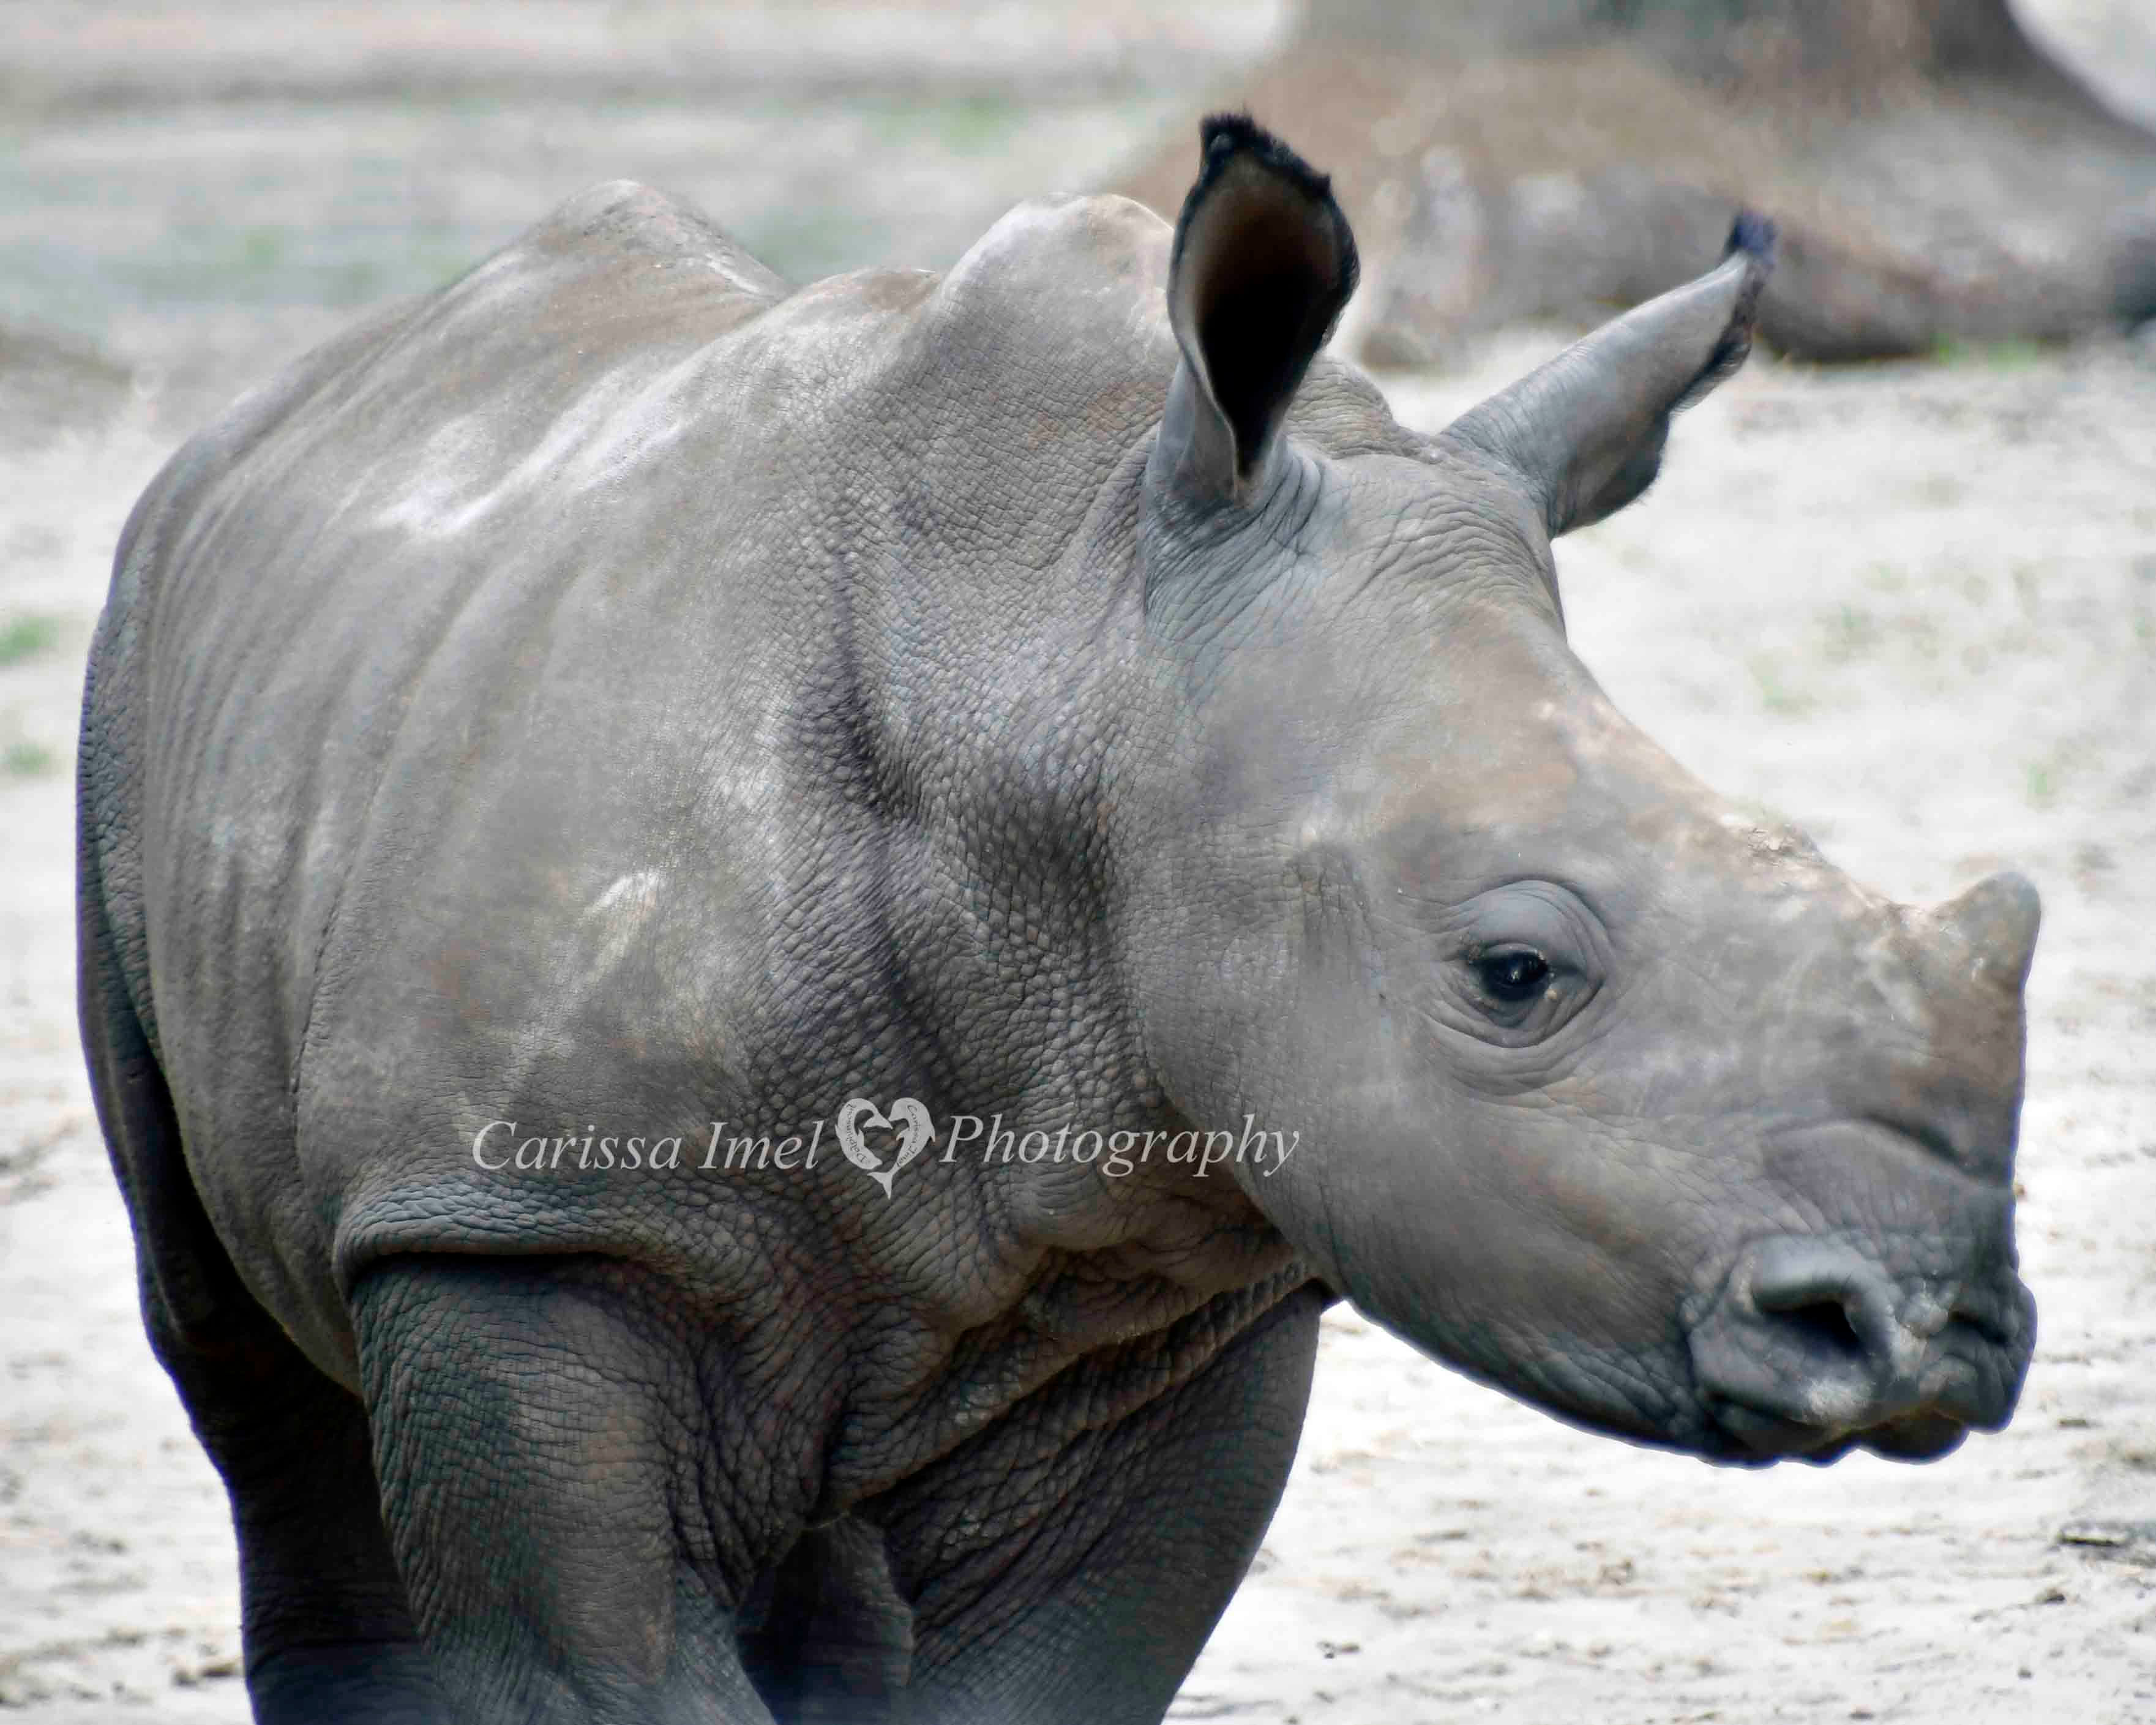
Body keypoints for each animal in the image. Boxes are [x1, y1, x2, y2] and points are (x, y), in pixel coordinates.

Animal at [77, 116, 2039, 1724]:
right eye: (1515, 975)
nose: (1928, 1326)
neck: (1071, 661)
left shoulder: (1186, 1296)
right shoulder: (526, 1228)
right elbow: (595, 1648)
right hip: (134, 667)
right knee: (239, 1372)